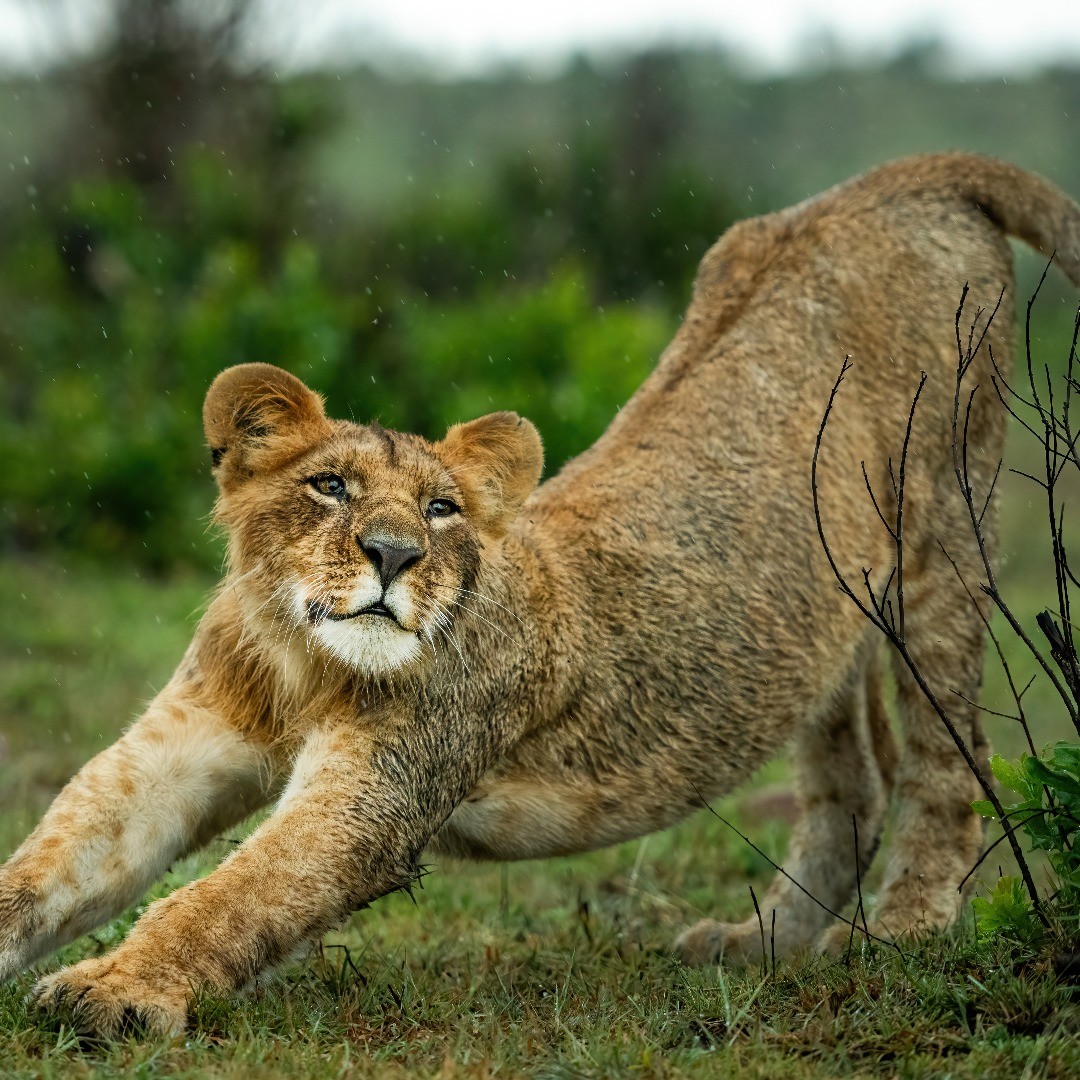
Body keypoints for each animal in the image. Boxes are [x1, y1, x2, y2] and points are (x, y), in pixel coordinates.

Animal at [2, 154, 1080, 1036]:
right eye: (330, 486)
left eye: (441, 509)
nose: (393, 554)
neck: (300, 658)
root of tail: (904, 178)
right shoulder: (172, 753)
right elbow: (52, 862)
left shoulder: (376, 796)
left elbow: (228, 896)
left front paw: (112, 992)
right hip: (824, 600)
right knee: (851, 780)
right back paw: (762, 943)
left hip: (944, 524)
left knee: (945, 762)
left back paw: (902, 931)